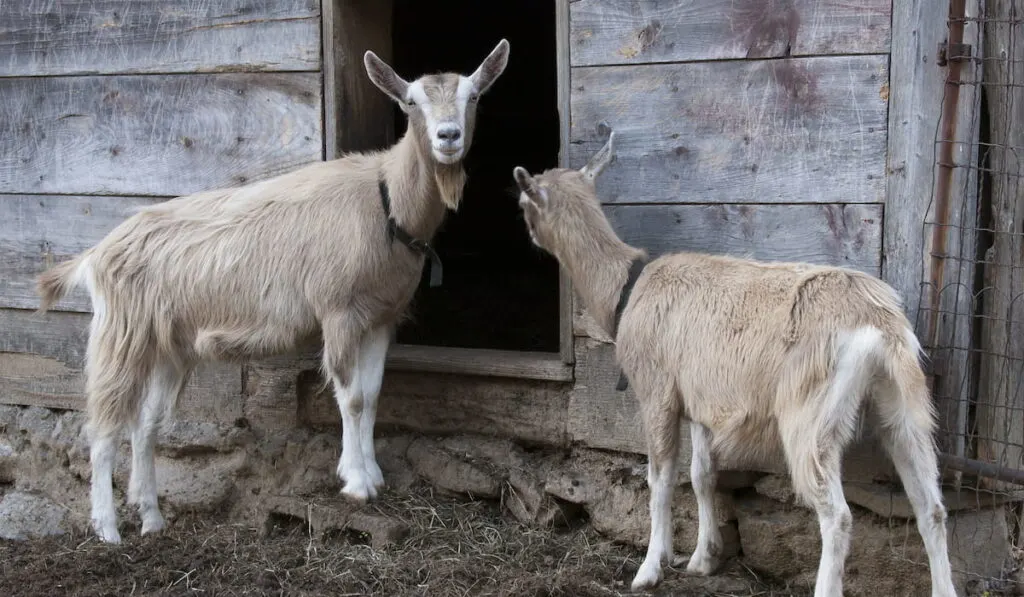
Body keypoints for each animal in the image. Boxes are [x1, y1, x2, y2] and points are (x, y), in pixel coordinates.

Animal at [37, 39, 512, 544]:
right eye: (410, 102)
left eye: (474, 96)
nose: (448, 136)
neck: (385, 199)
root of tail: (96, 253)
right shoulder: (338, 312)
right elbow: (351, 398)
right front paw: (356, 483)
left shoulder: (381, 318)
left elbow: (372, 395)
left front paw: (373, 473)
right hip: (121, 335)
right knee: (103, 428)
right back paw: (108, 528)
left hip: (170, 346)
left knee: (146, 425)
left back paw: (152, 518)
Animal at [512, 134, 958, 597]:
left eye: (524, 202)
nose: (526, 235)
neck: (626, 290)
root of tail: (876, 322)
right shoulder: (700, 403)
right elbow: (702, 474)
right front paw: (703, 558)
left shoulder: (657, 392)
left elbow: (660, 478)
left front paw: (649, 568)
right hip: (904, 404)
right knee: (931, 507)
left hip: (811, 413)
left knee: (837, 514)